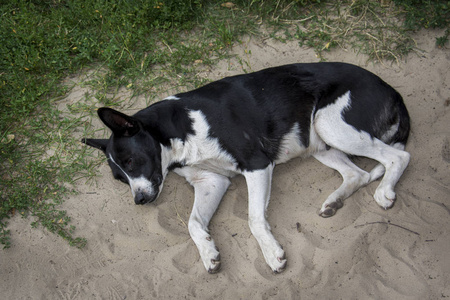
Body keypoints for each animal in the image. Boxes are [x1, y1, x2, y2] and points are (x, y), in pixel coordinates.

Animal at [82, 62, 410, 274]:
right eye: (119, 178)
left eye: (130, 161)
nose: (139, 200)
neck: (180, 129)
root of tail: (393, 91)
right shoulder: (211, 181)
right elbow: (193, 223)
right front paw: (208, 253)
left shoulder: (256, 165)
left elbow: (253, 218)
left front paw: (272, 254)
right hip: (318, 140)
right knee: (359, 173)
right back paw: (335, 201)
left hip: (330, 125)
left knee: (397, 157)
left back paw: (384, 192)